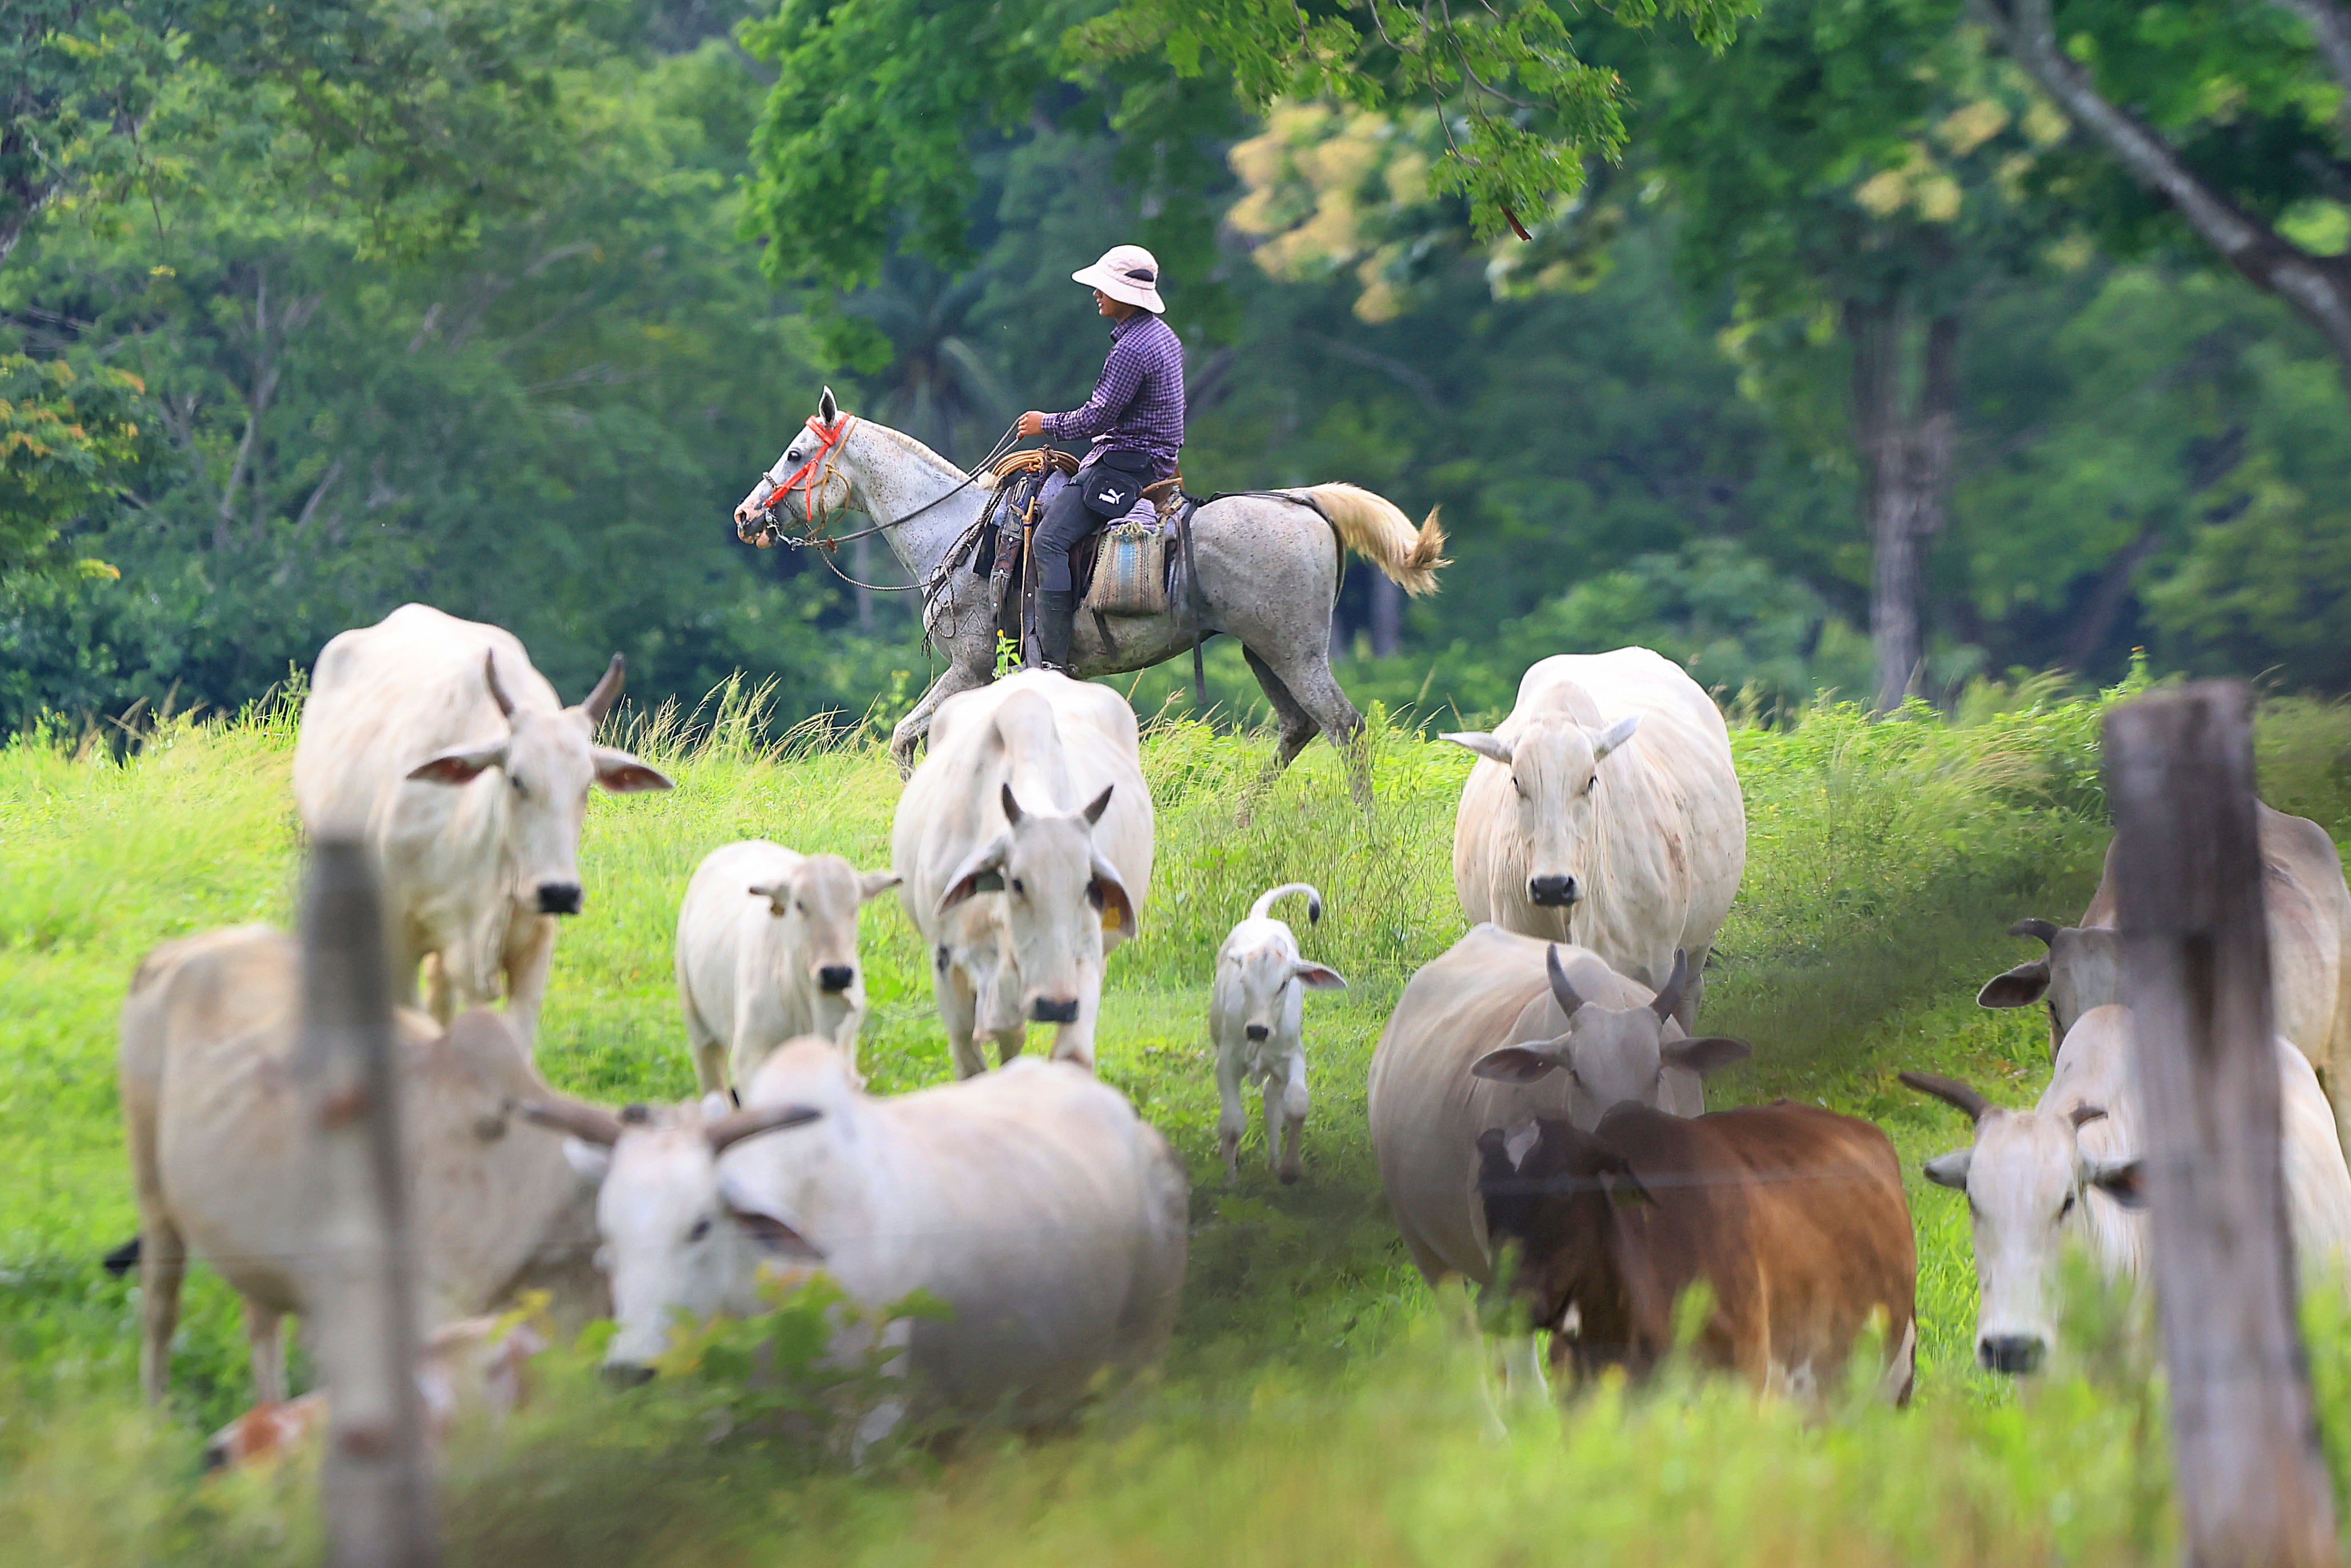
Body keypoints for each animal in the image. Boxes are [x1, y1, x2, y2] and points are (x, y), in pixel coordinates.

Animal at [733, 389, 1447, 801]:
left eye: (796, 453)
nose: (745, 516)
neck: (954, 528)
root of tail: (1305, 501)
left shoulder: (971, 667)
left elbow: (904, 740)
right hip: (1263, 652)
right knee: (1300, 728)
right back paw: (1237, 819)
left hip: (1296, 652)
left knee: (1345, 727)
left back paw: (1360, 826)